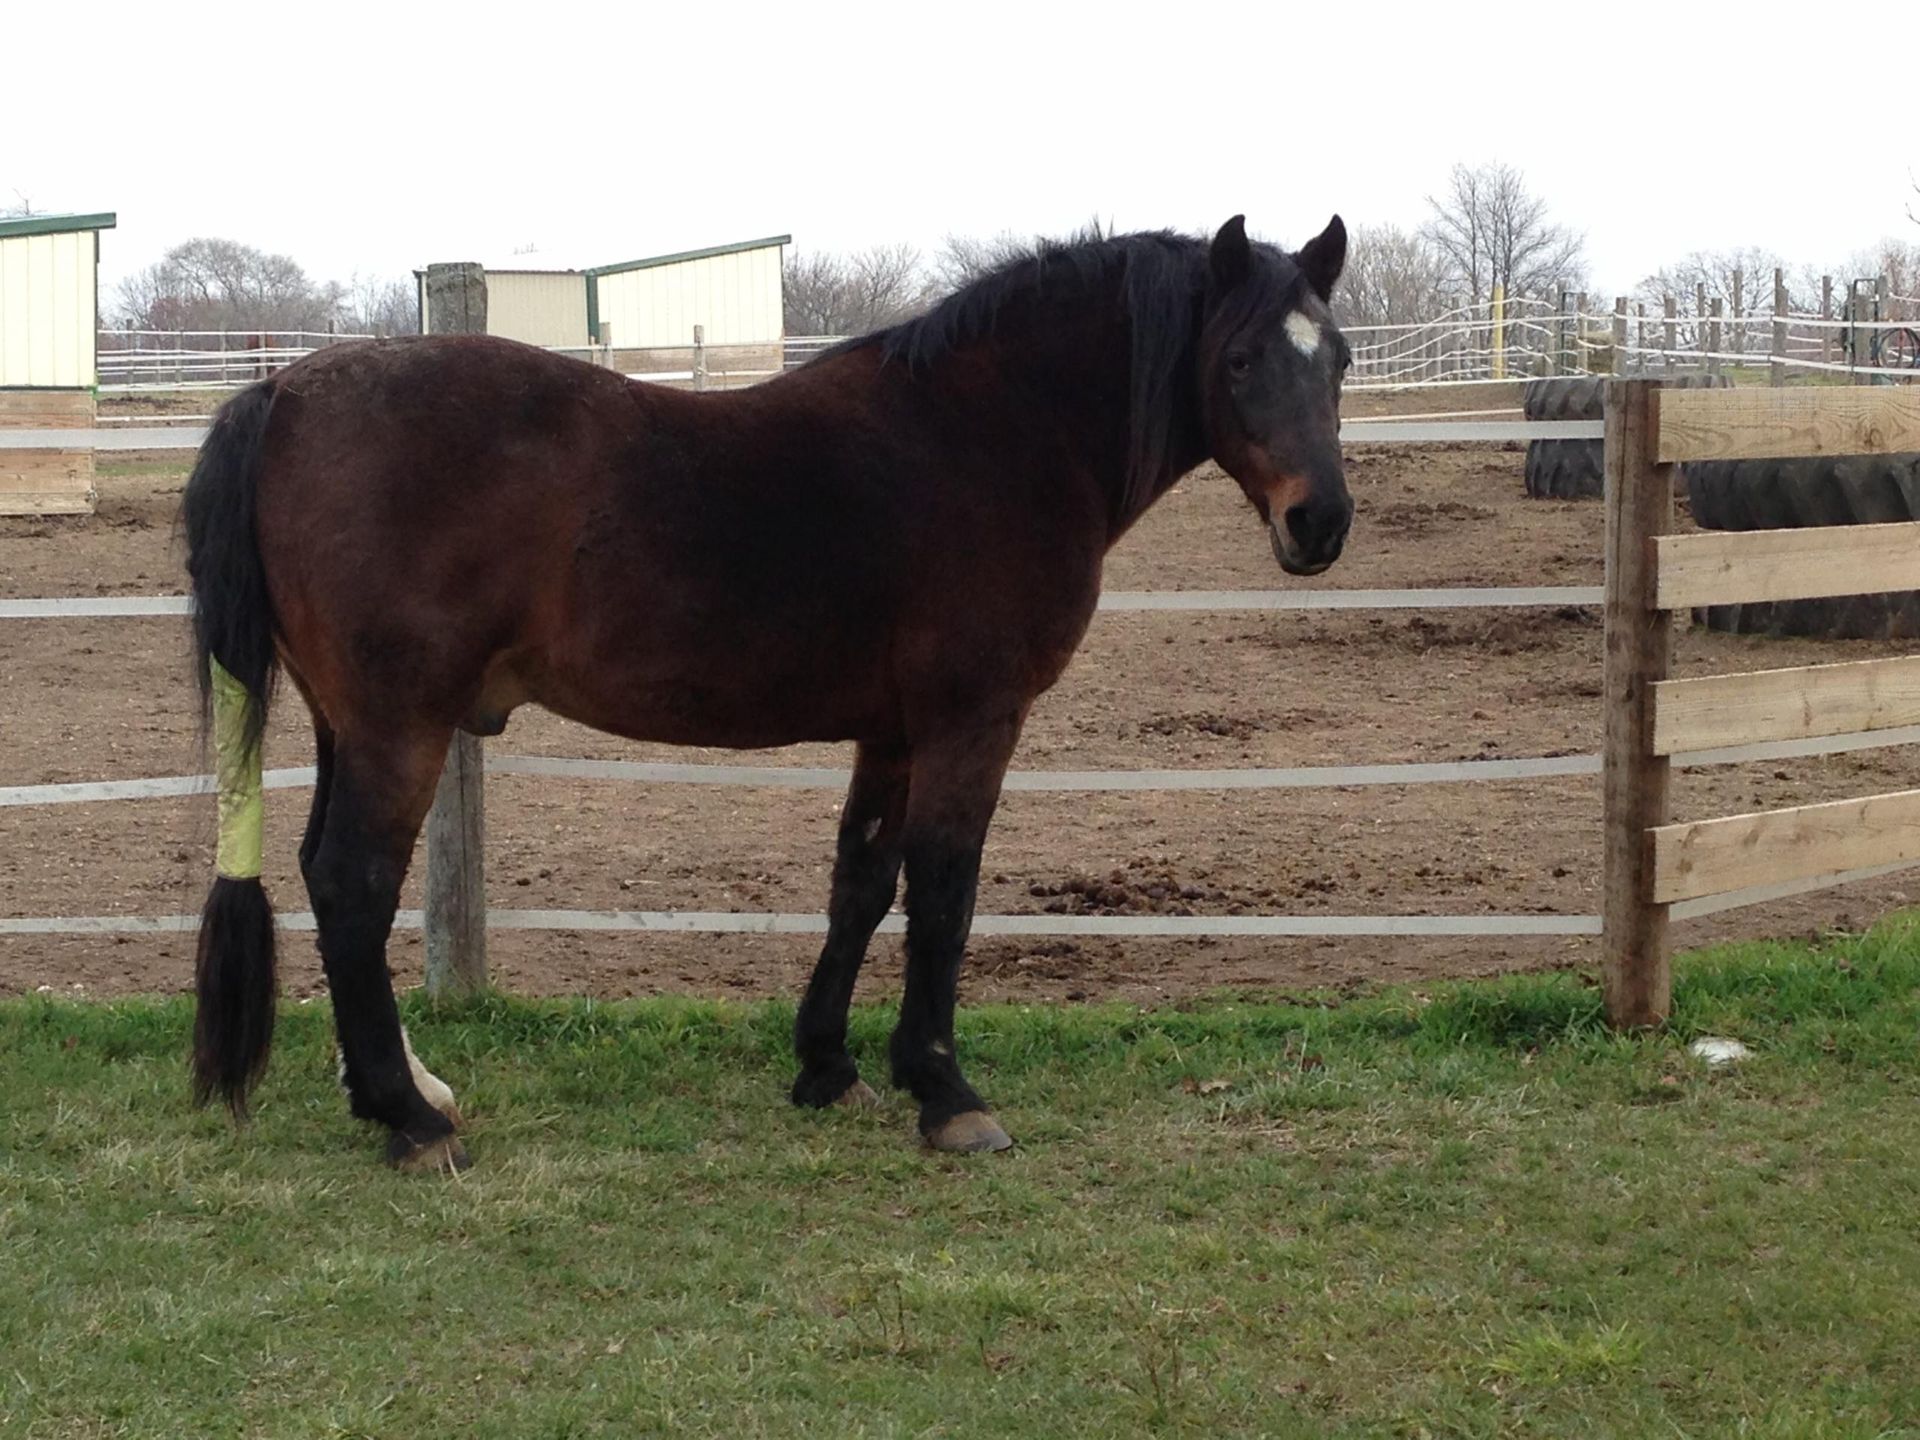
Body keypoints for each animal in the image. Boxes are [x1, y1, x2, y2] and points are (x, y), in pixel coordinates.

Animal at [182, 214, 1353, 1172]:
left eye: (1337, 358)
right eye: (1240, 358)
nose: (1322, 522)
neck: (992, 434)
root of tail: (283, 392)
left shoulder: (893, 732)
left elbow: (861, 883)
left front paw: (829, 1066)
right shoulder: (971, 721)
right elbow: (944, 890)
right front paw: (947, 1091)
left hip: (347, 725)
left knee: (324, 876)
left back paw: (400, 1089)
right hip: (400, 728)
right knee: (353, 884)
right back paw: (410, 1119)